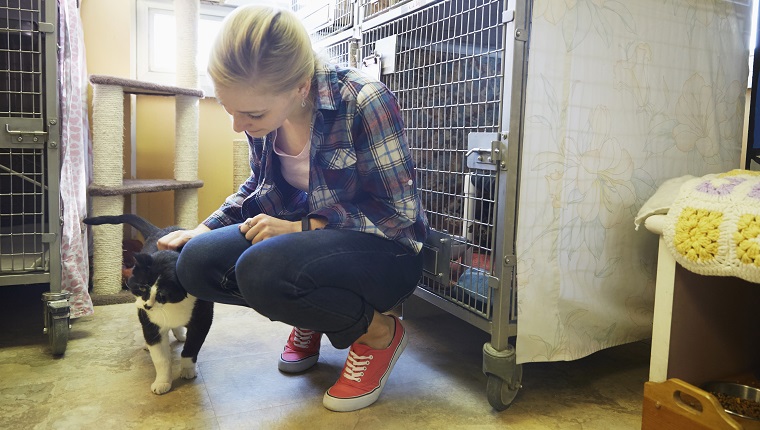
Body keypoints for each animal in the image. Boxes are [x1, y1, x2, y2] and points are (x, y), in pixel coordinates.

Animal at [83, 213, 214, 394]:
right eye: (141, 287)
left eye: (162, 295)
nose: (147, 306)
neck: (170, 308)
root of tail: (160, 230)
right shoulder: (150, 321)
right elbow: (161, 358)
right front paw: (162, 382)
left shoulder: (202, 319)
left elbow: (191, 348)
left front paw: (187, 370)